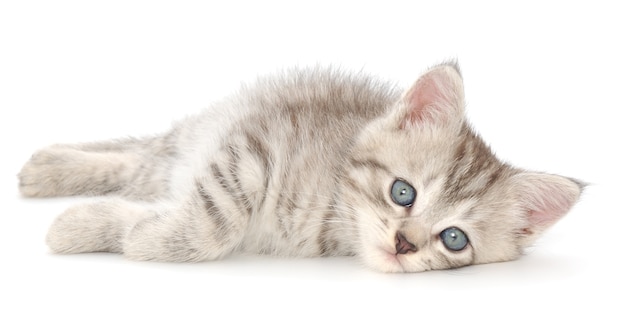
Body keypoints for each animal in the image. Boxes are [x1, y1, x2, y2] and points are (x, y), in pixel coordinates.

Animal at [18, 62, 580, 272]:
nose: (404, 244)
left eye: (454, 239)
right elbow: (209, 228)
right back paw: (46, 166)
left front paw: (123, 229)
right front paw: (126, 233)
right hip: (196, 137)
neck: (333, 215)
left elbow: (196, 224)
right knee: (141, 156)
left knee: (141, 166)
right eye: (403, 192)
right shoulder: (251, 145)